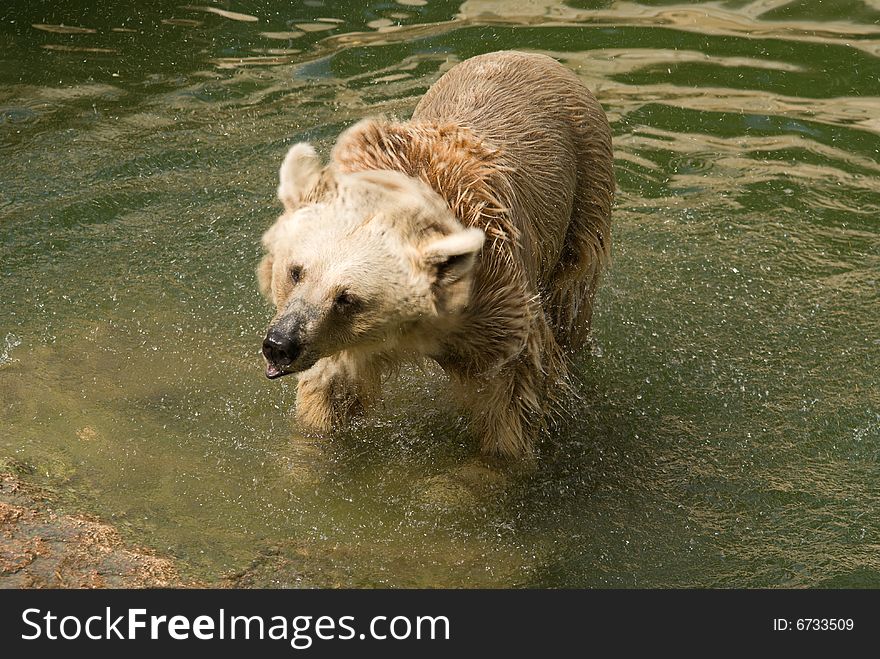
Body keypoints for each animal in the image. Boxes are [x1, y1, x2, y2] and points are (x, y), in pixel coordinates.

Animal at [256, 50, 612, 458]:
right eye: (296, 271)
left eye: (347, 297)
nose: (279, 345)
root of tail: (534, 55)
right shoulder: (343, 343)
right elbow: (332, 389)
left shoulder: (496, 295)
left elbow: (514, 393)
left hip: (584, 191)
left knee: (571, 298)